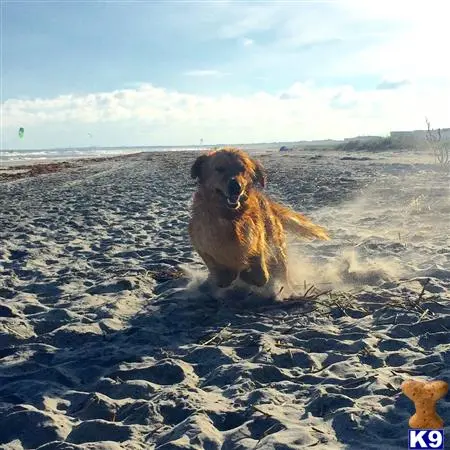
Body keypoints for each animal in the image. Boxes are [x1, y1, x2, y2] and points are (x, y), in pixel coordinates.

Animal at [188, 149, 328, 292]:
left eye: (242, 169)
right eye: (219, 168)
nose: (236, 186)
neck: (231, 217)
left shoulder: (257, 241)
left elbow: (261, 275)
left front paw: (245, 274)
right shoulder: (201, 243)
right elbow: (217, 270)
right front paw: (227, 275)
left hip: (276, 246)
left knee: (282, 270)